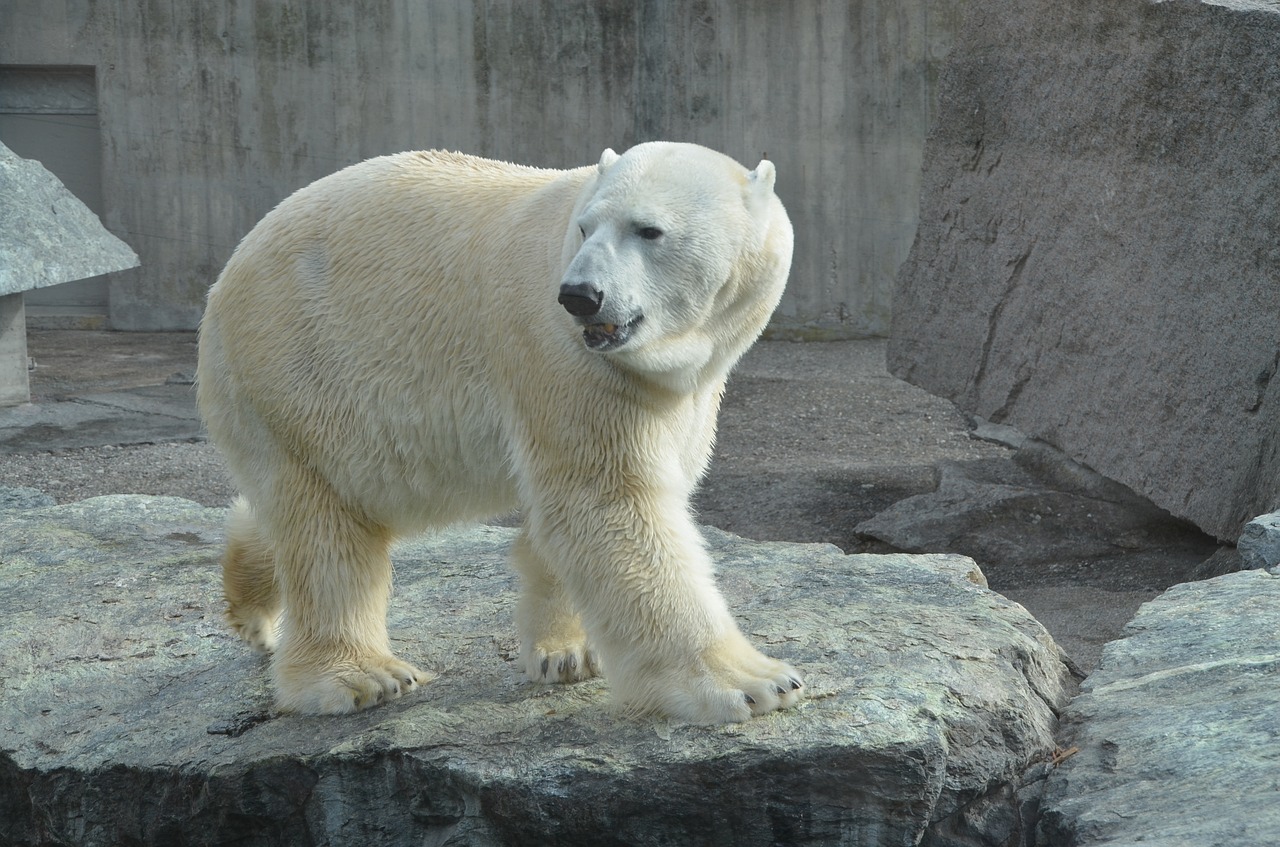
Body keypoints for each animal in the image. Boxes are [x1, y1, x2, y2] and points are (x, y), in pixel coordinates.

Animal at [197, 142, 798, 726]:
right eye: (586, 227)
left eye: (648, 229)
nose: (581, 295)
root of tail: (229, 271)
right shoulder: (567, 357)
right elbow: (612, 502)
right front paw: (756, 683)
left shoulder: (681, 388)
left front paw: (565, 652)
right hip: (299, 367)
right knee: (324, 521)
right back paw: (361, 677)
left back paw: (254, 606)